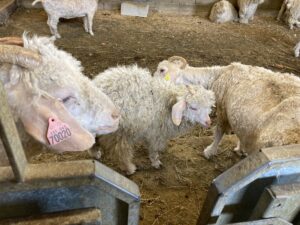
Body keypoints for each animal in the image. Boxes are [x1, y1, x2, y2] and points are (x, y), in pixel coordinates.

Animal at [154, 57, 300, 160]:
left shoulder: (223, 109)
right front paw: (240, 149)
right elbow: (241, 133)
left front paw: (210, 151)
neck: (218, 75)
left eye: (162, 70)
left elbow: (219, 132)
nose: (153, 83)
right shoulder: (244, 122)